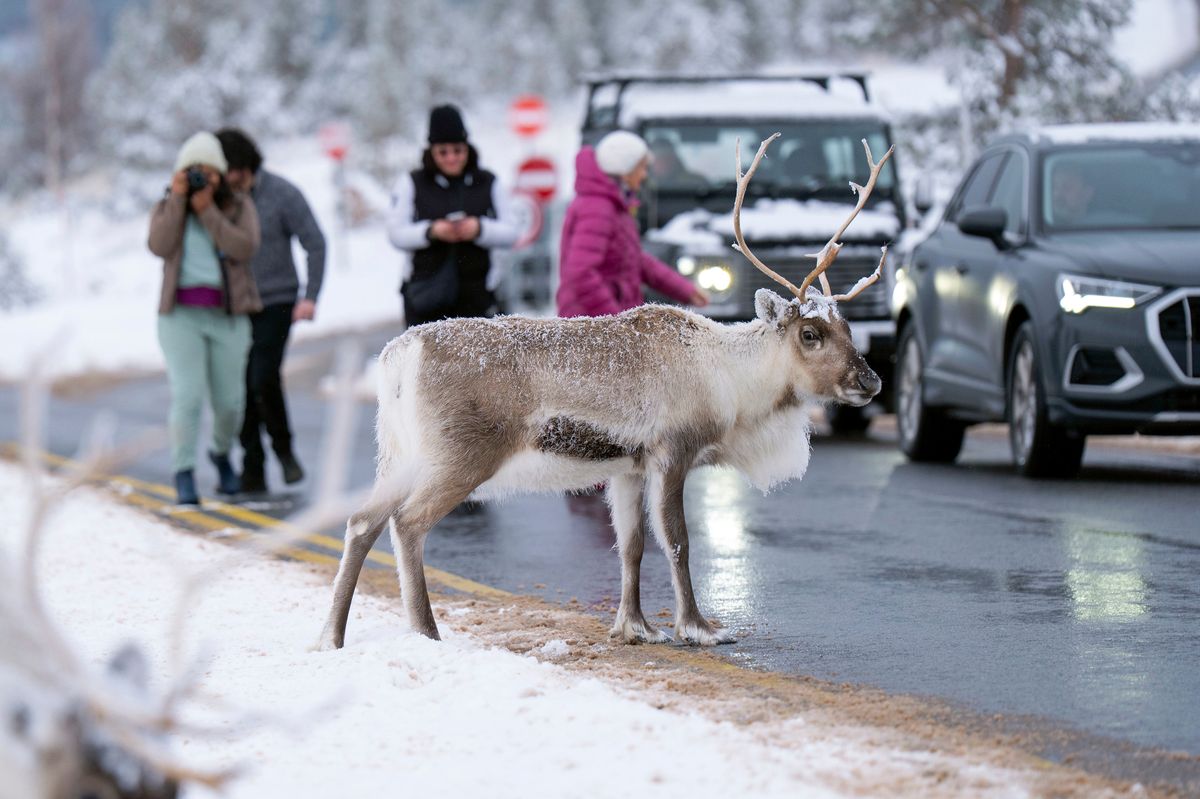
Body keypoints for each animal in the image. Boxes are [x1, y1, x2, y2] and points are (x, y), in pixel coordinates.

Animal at [316, 134, 892, 650]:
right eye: (810, 333)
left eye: (845, 327)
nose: (870, 381)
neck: (728, 378)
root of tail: (398, 355)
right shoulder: (672, 452)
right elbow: (677, 543)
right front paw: (699, 628)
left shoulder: (626, 467)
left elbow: (630, 547)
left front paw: (634, 627)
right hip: (458, 455)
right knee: (407, 522)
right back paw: (426, 632)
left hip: (398, 453)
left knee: (361, 520)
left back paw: (331, 637)